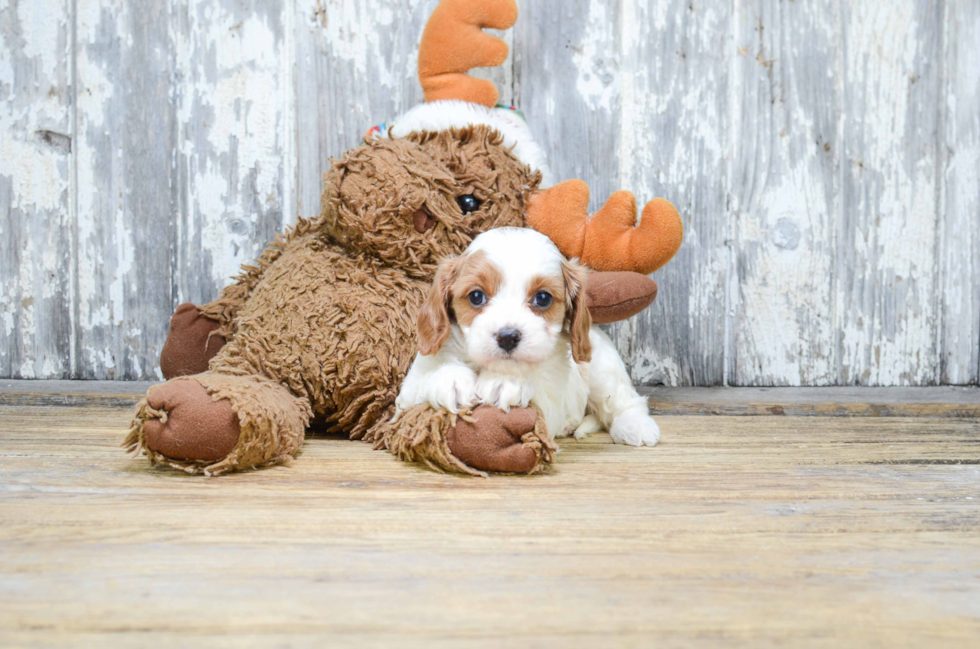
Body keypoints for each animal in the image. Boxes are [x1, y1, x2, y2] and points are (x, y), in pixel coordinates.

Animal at [394, 227, 664, 446]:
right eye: (476, 296)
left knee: (625, 401)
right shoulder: (403, 402)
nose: (507, 337)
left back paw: (635, 426)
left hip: (601, 370)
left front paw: (505, 381)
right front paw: (450, 380)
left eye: (542, 298)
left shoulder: (552, 401)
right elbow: (421, 385)